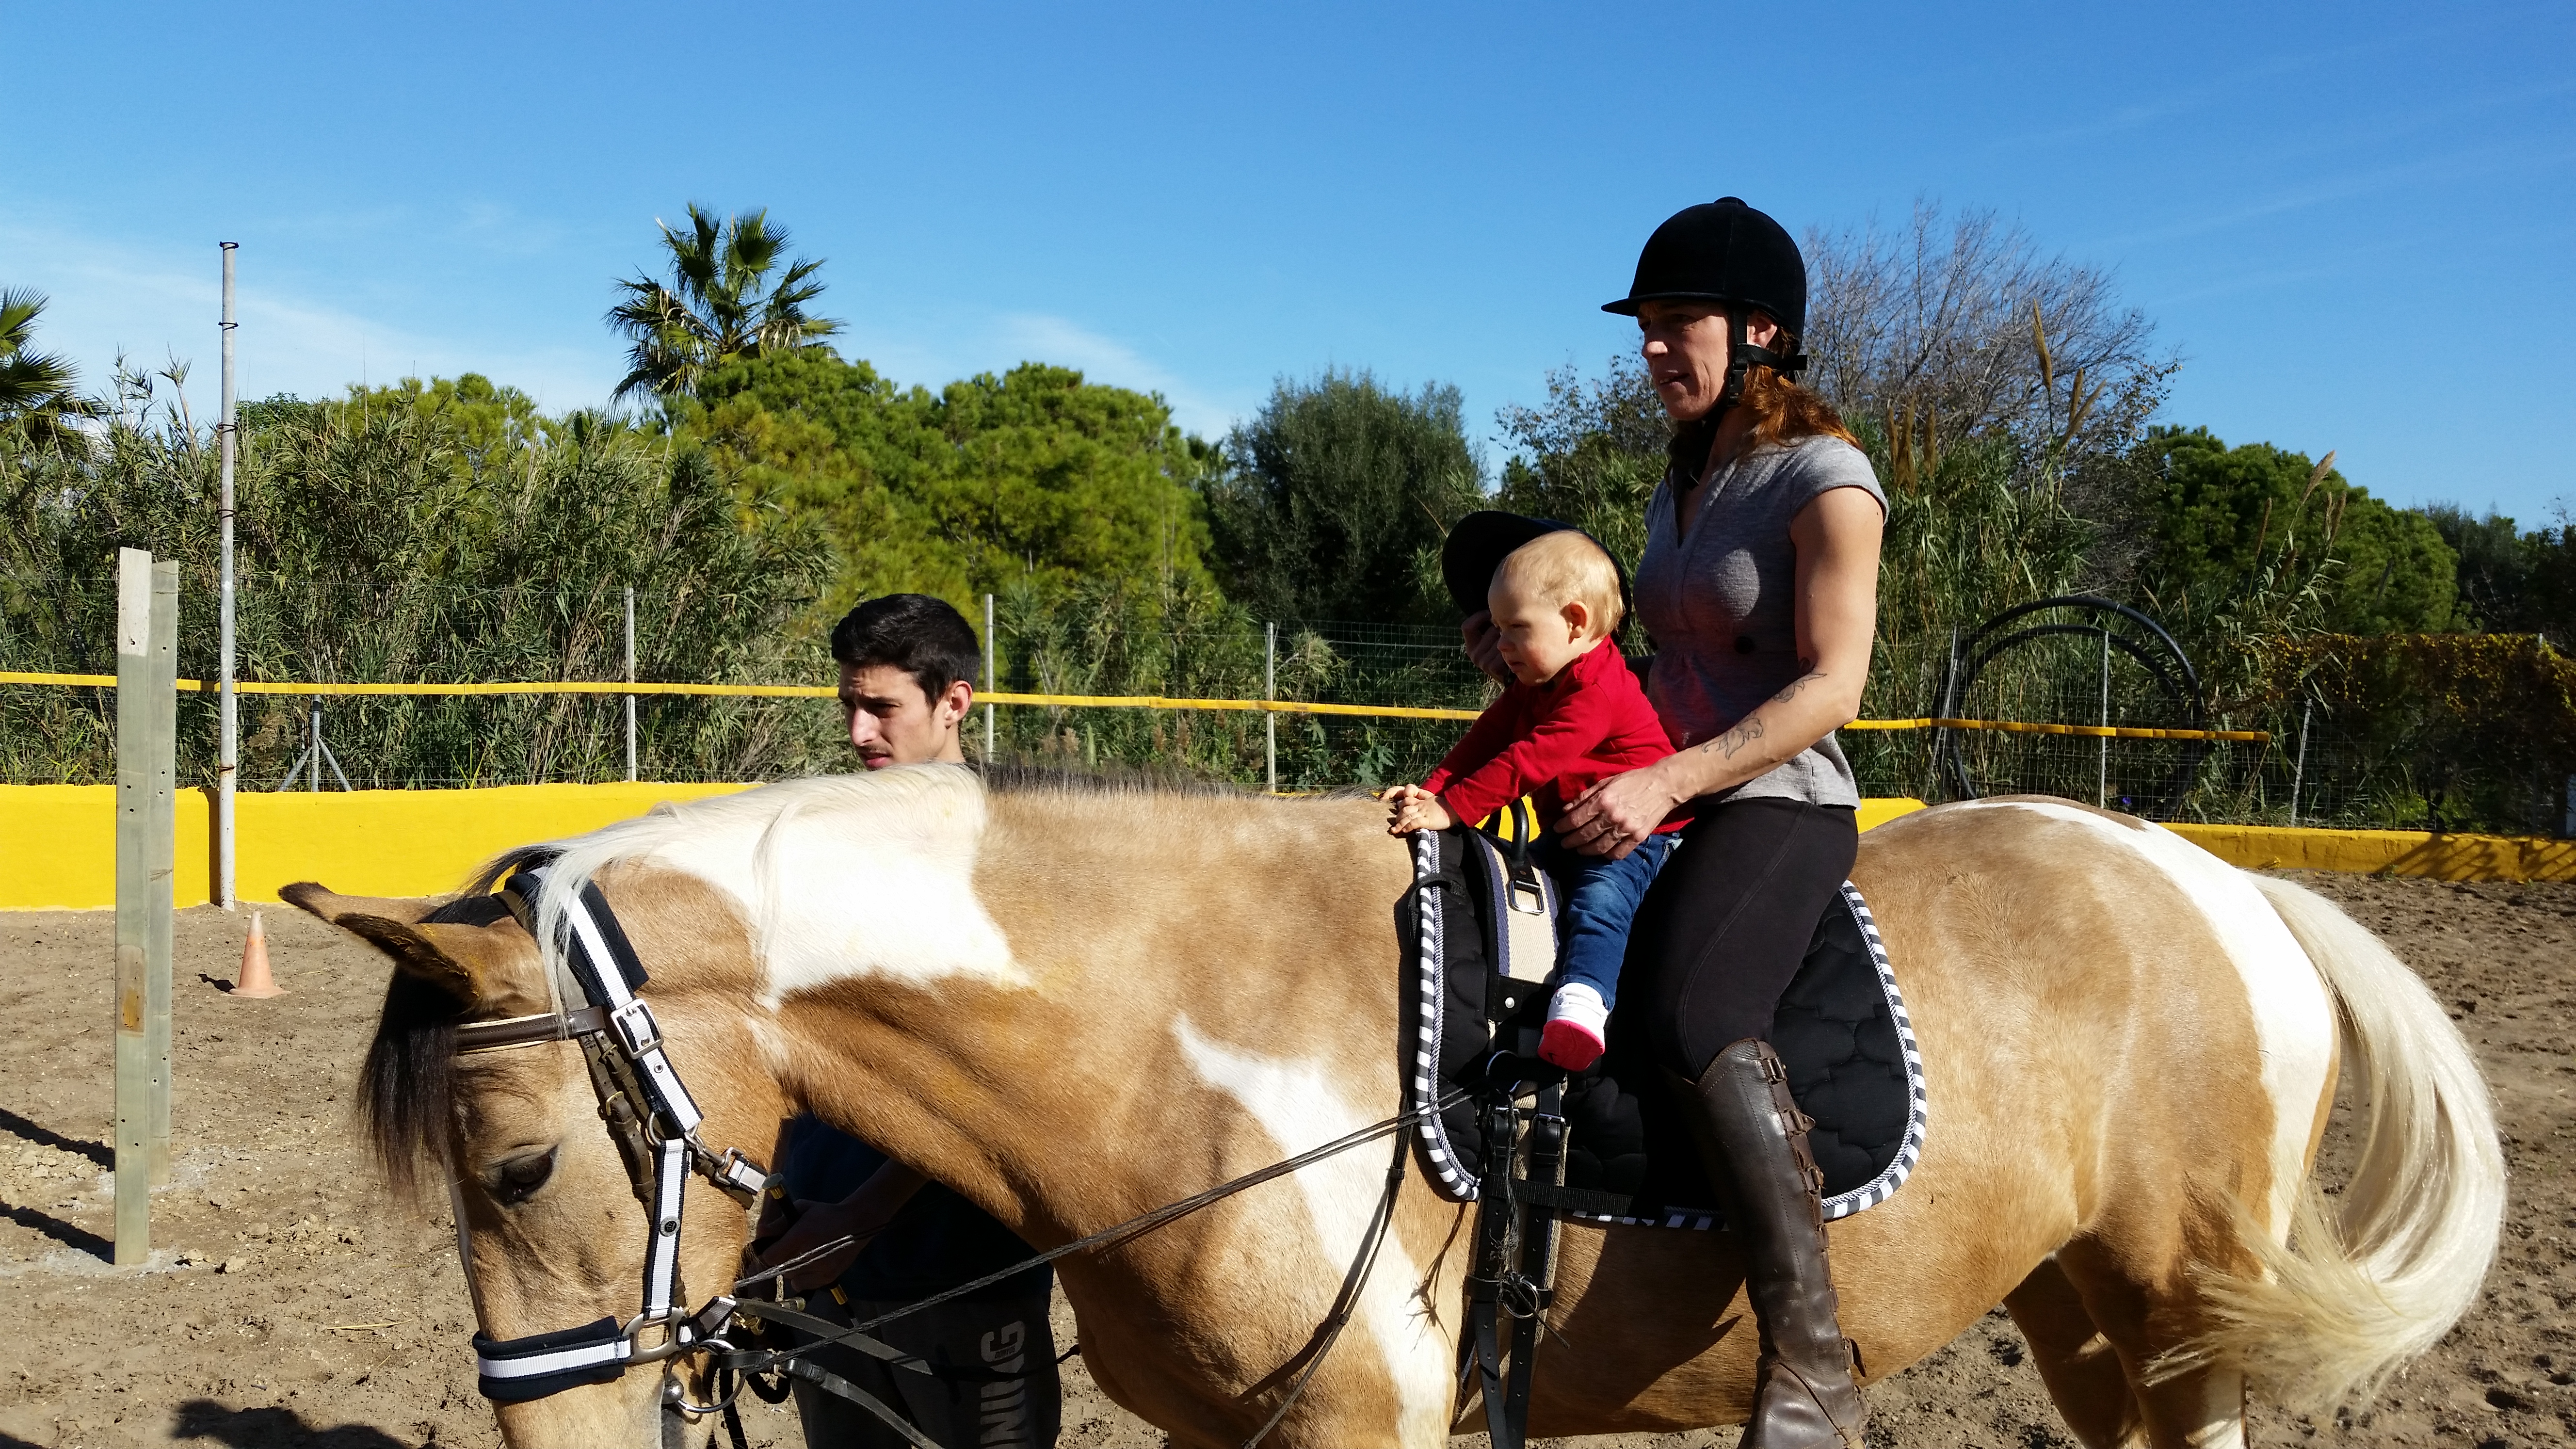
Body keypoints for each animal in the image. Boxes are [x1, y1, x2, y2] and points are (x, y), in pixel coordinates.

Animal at [292, 763, 2504, 1433]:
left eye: (519, 1160)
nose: (554, 1438)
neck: (1188, 1038)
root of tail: (2224, 885)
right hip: (2081, 1314)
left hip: (2182, 1309)